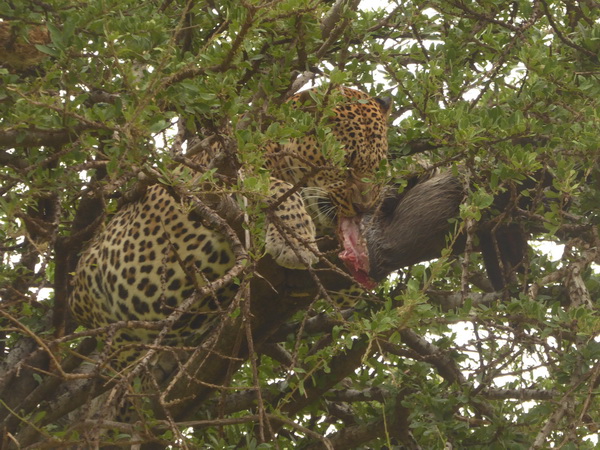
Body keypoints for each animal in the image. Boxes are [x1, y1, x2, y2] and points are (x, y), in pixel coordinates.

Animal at [68, 84, 392, 366]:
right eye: (344, 161)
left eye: (378, 166)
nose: (364, 205)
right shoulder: (212, 179)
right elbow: (272, 185)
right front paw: (294, 240)